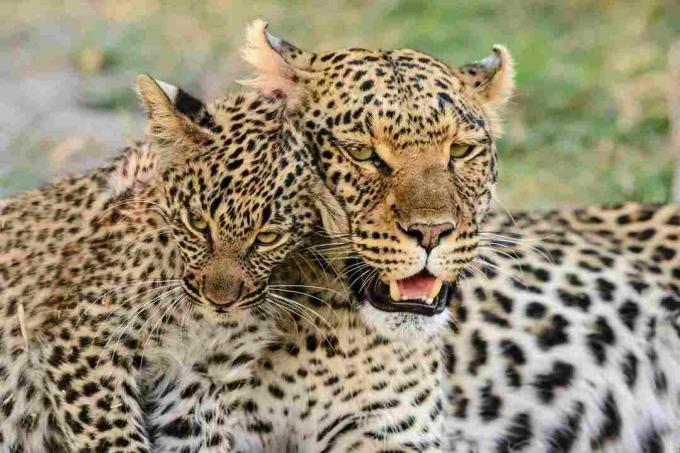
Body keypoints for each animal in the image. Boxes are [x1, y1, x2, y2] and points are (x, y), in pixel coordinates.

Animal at [0, 74, 342, 448]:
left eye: (267, 237)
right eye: (198, 223)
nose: (220, 301)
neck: (199, 323)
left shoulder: (203, 381)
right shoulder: (83, 345)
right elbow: (116, 440)